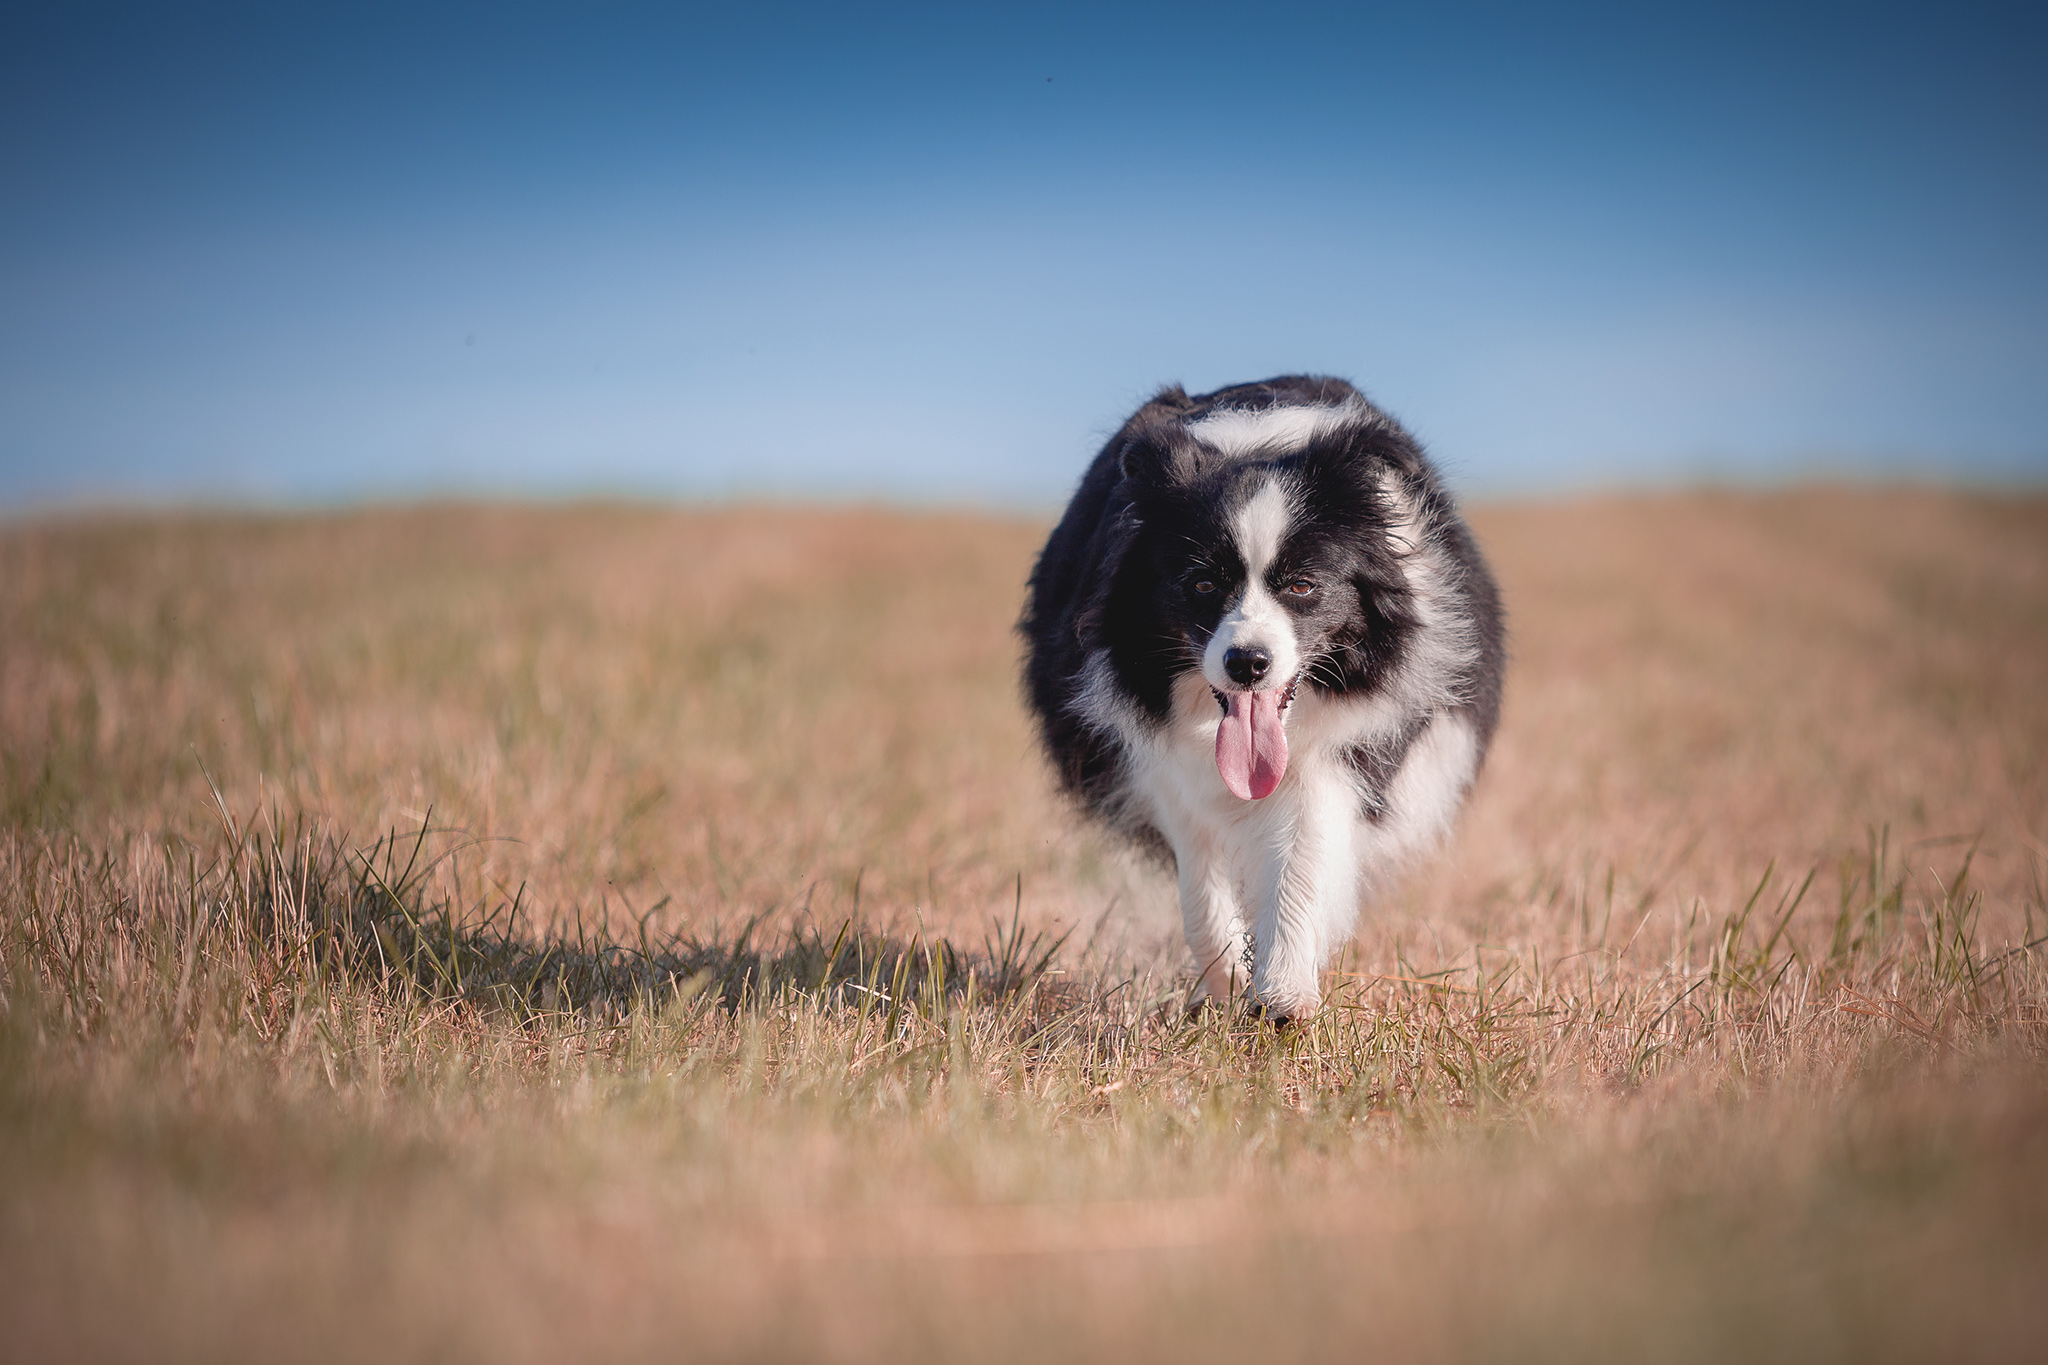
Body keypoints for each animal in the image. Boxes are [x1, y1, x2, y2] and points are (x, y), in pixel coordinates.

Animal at [1024, 378, 1507, 1019]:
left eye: (1302, 585)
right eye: (1201, 583)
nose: (1247, 664)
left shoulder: (1344, 742)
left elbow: (1304, 842)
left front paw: (1282, 996)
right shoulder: (1163, 762)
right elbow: (1199, 870)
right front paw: (1226, 982)